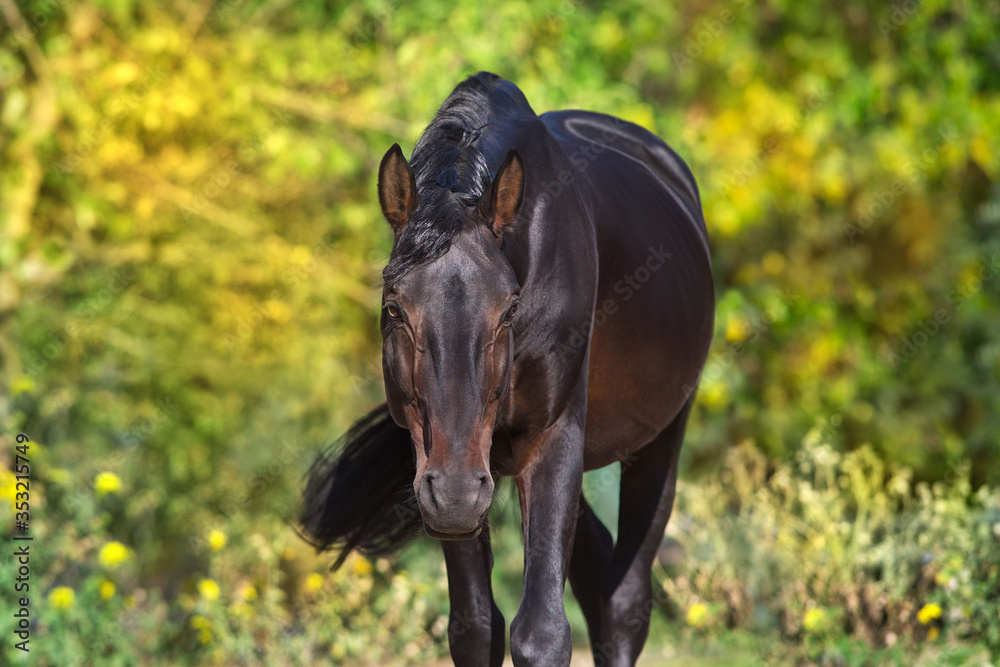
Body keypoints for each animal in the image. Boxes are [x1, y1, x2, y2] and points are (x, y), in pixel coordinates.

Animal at [300, 73, 716, 667]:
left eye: (509, 310)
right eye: (394, 309)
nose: (455, 492)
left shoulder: (550, 437)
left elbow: (541, 633)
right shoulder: (446, 468)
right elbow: (476, 628)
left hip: (660, 441)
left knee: (625, 600)